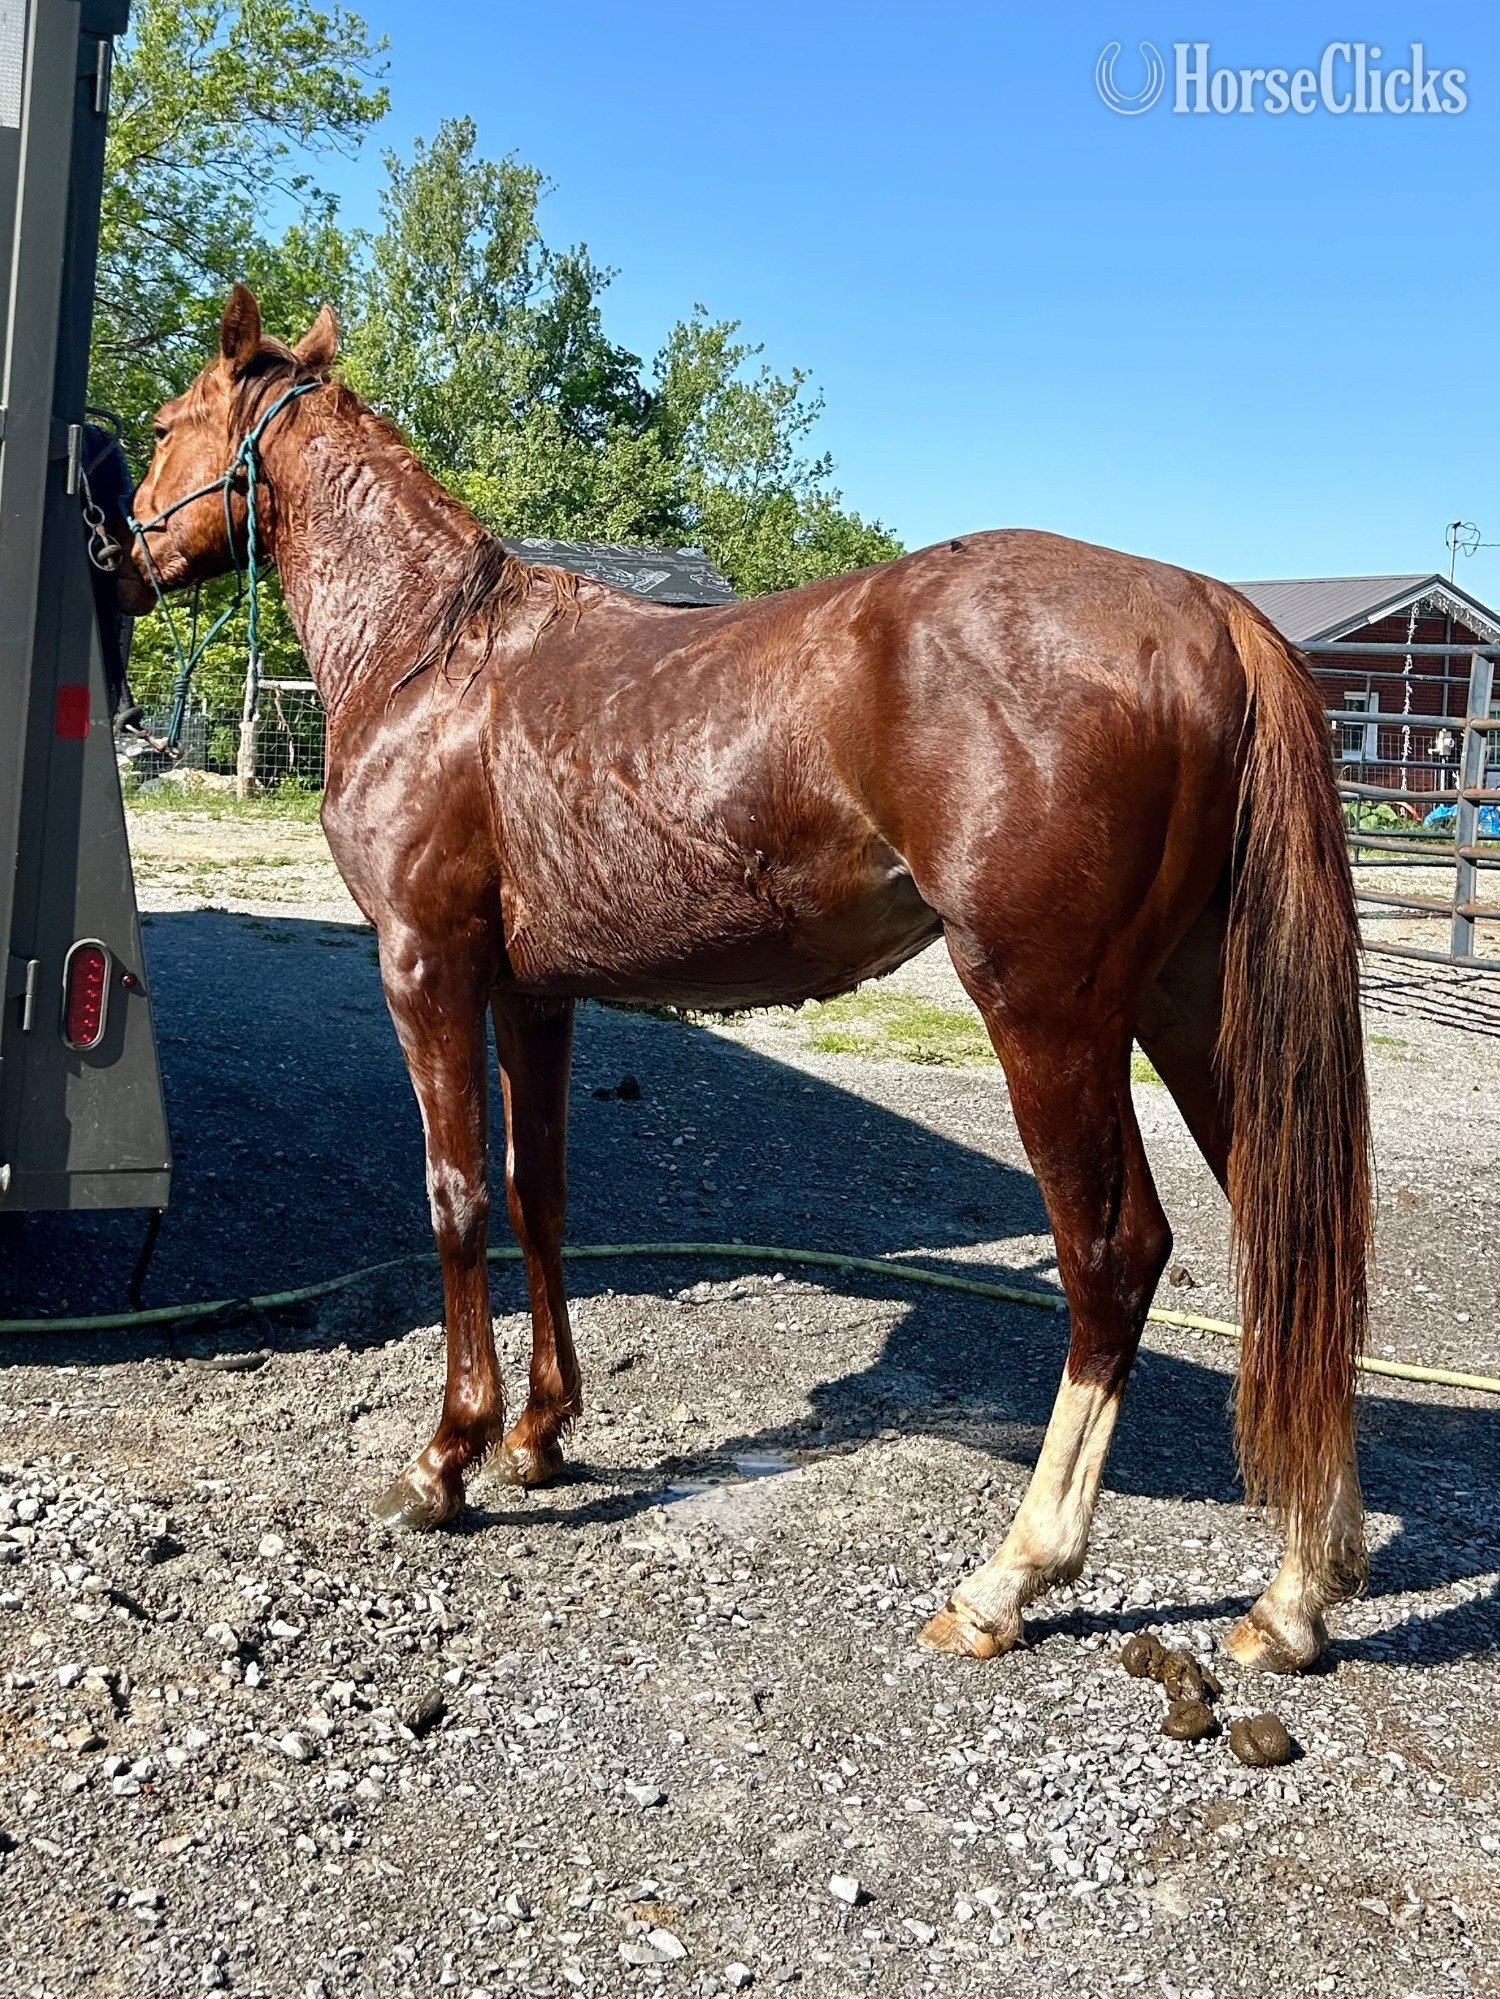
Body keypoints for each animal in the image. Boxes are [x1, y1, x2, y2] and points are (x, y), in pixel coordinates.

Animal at [122, 285, 1371, 1674]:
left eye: (165, 425)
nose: (121, 555)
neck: (434, 658)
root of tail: (1210, 608)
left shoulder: (426, 970)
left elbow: (456, 1200)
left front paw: (445, 1459)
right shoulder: (530, 995)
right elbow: (539, 1194)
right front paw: (540, 1435)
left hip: (1052, 1014)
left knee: (1115, 1259)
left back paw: (1011, 1578)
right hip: (1194, 1011)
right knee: (1293, 1250)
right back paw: (1295, 1595)